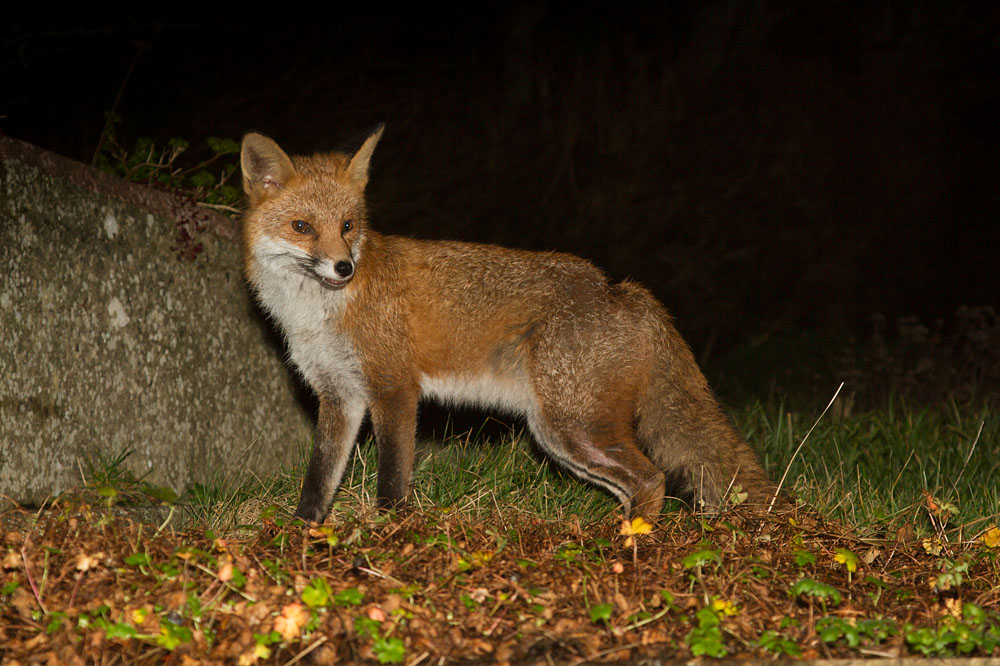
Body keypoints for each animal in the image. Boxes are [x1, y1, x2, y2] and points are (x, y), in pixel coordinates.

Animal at [239, 125, 776, 523]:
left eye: (348, 226)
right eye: (302, 227)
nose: (343, 267)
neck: (318, 313)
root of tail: (622, 290)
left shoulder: (393, 387)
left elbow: (392, 482)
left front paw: (389, 536)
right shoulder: (340, 395)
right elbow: (318, 482)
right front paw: (303, 537)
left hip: (572, 425)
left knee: (651, 478)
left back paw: (631, 544)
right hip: (561, 436)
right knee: (634, 485)